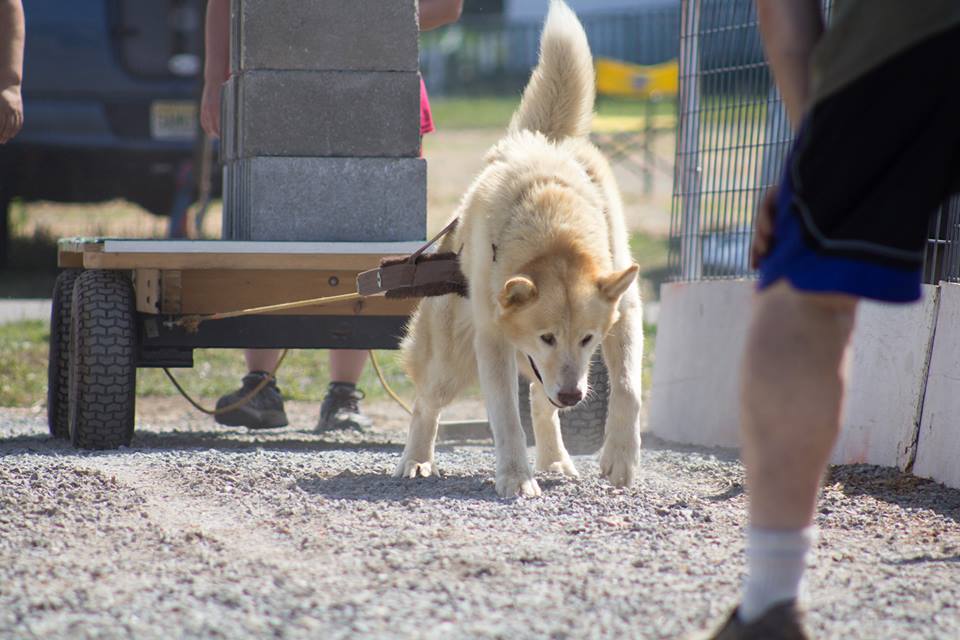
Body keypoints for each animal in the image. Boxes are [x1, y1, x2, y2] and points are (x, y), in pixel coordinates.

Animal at [394, 0, 640, 498]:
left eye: (588, 338)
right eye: (546, 336)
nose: (572, 395)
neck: (554, 224)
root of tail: (541, 137)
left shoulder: (625, 315)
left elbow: (628, 388)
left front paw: (621, 459)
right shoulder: (493, 341)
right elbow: (506, 417)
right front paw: (514, 477)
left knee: (539, 402)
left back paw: (555, 458)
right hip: (451, 361)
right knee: (426, 404)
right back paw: (416, 459)